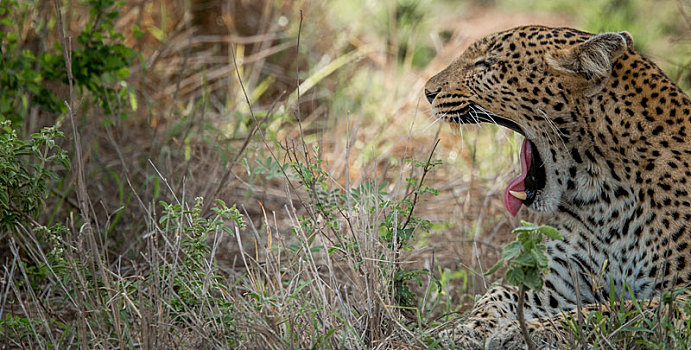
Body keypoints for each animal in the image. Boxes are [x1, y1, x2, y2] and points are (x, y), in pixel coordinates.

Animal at [424, 26, 688, 348]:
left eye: (487, 64)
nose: (427, 92)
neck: (605, 195)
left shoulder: (683, 297)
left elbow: (615, 311)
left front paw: (520, 333)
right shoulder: (564, 281)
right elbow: (499, 293)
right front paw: (467, 328)